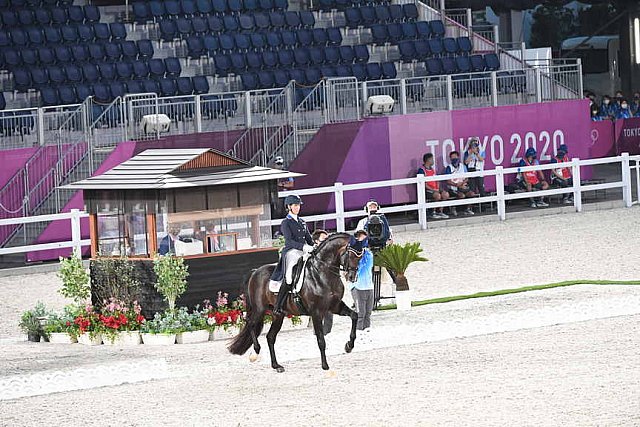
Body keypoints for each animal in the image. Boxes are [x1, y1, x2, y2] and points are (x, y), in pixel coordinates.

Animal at [229, 234, 360, 372]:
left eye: (360, 256)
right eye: (351, 255)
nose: (352, 277)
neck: (322, 274)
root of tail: (255, 272)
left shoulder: (335, 306)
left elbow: (354, 316)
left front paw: (349, 346)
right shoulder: (316, 313)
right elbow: (321, 340)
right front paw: (325, 365)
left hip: (278, 315)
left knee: (270, 337)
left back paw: (276, 366)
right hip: (259, 309)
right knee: (250, 323)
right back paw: (256, 351)